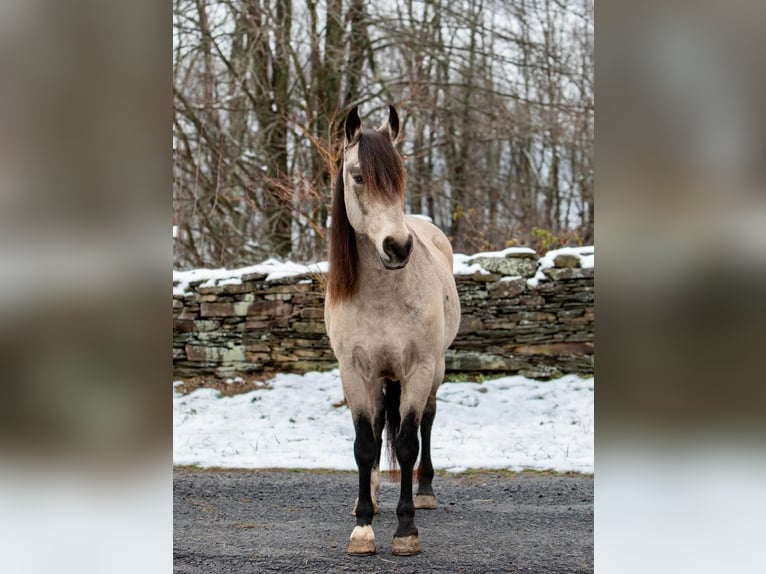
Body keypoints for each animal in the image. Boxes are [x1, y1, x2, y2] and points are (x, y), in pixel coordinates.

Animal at [324, 104, 462, 560]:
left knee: (426, 422)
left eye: (400, 175)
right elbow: (364, 444)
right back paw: (366, 497)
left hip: (434, 371)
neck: (382, 295)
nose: (398, 246)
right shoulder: (355, 372)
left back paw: (424, 491)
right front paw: (363, 527)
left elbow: (406, 443)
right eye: (358, 175)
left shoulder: (418, 369)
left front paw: (406, 530)